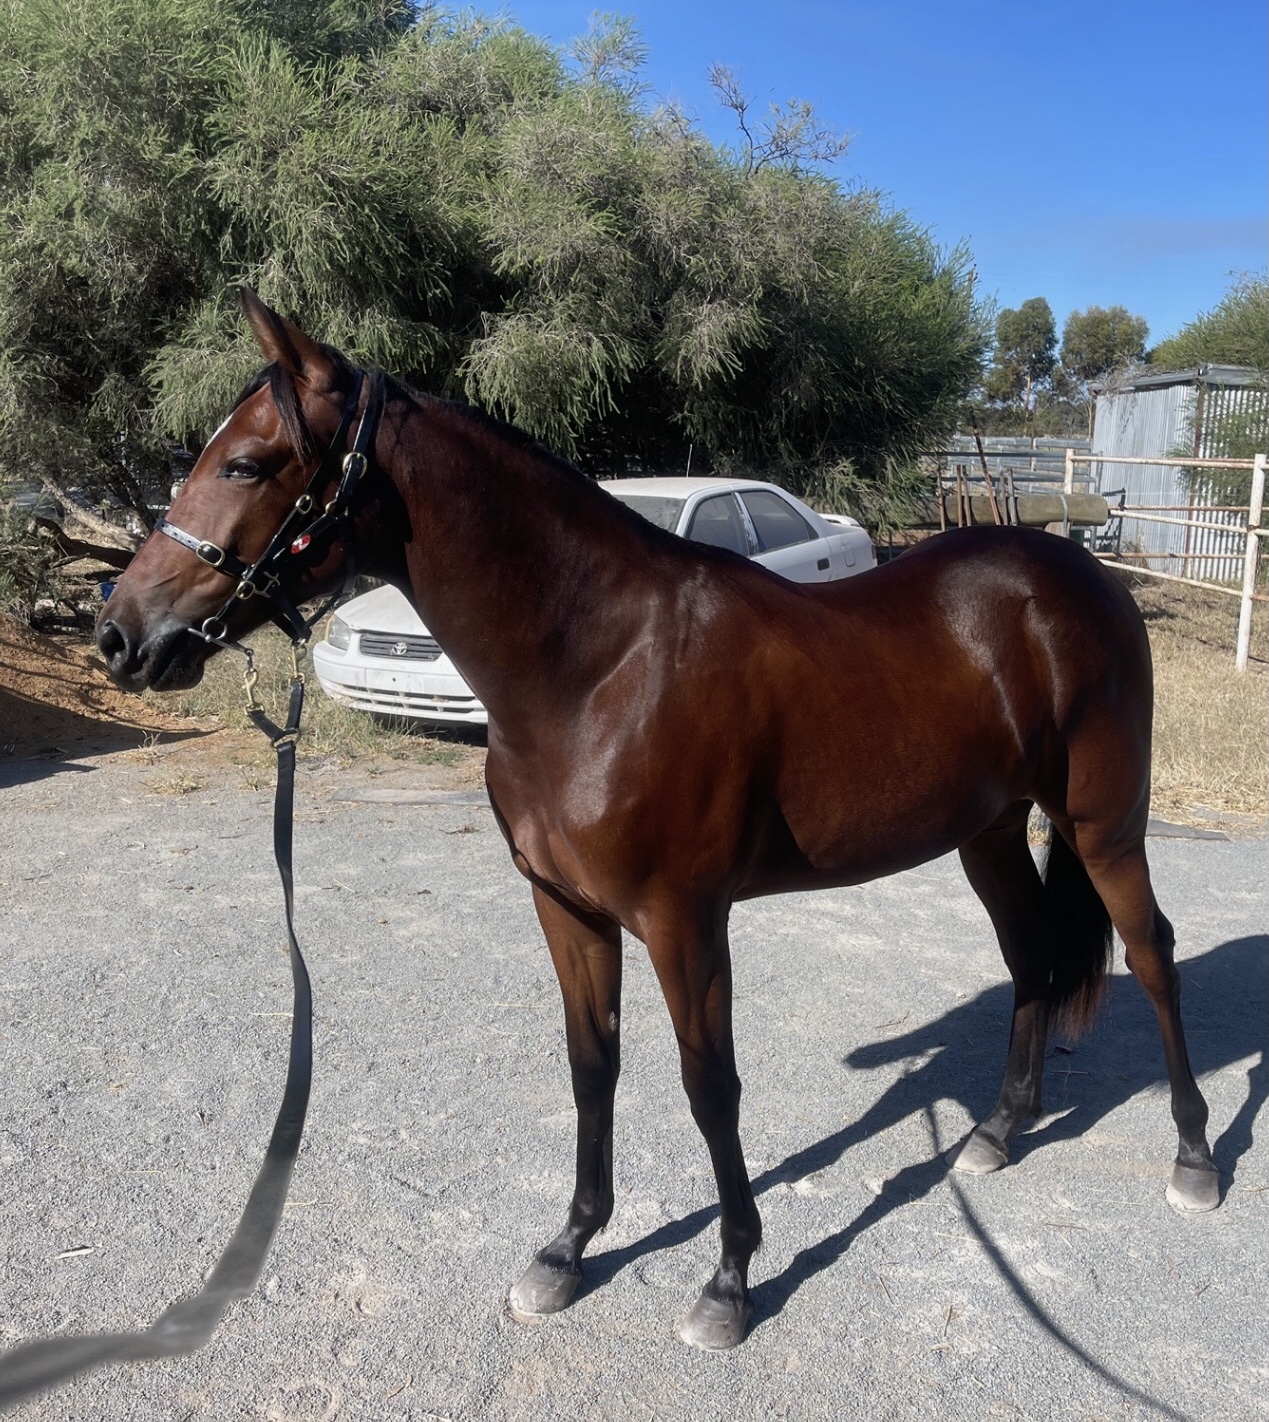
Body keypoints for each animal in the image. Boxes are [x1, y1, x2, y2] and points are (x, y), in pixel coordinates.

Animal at [96, 290, 1219, 1351]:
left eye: (246, 463)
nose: (121, 636)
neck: (598, 666)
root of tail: (1077, 575)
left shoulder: (685, 922)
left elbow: (707, 1085)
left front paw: (729, 1280)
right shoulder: (568, 911)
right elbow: (592, 1065)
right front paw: (568, 1248)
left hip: (1102, 823)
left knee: (1151, 951)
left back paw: (1196, 1154)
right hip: (985, 831)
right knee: (1031, 953)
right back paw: (998, 1130)